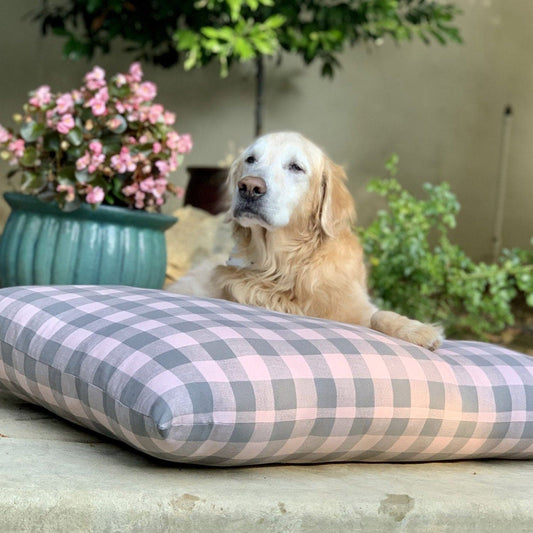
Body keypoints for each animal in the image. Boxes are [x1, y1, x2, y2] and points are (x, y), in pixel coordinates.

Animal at [206, 132, 442, 350]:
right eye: (251, 159)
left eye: (296, 167)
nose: (248, 187)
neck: (284, 266)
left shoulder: (356, 307)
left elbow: (378, 315)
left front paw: (418, 330)